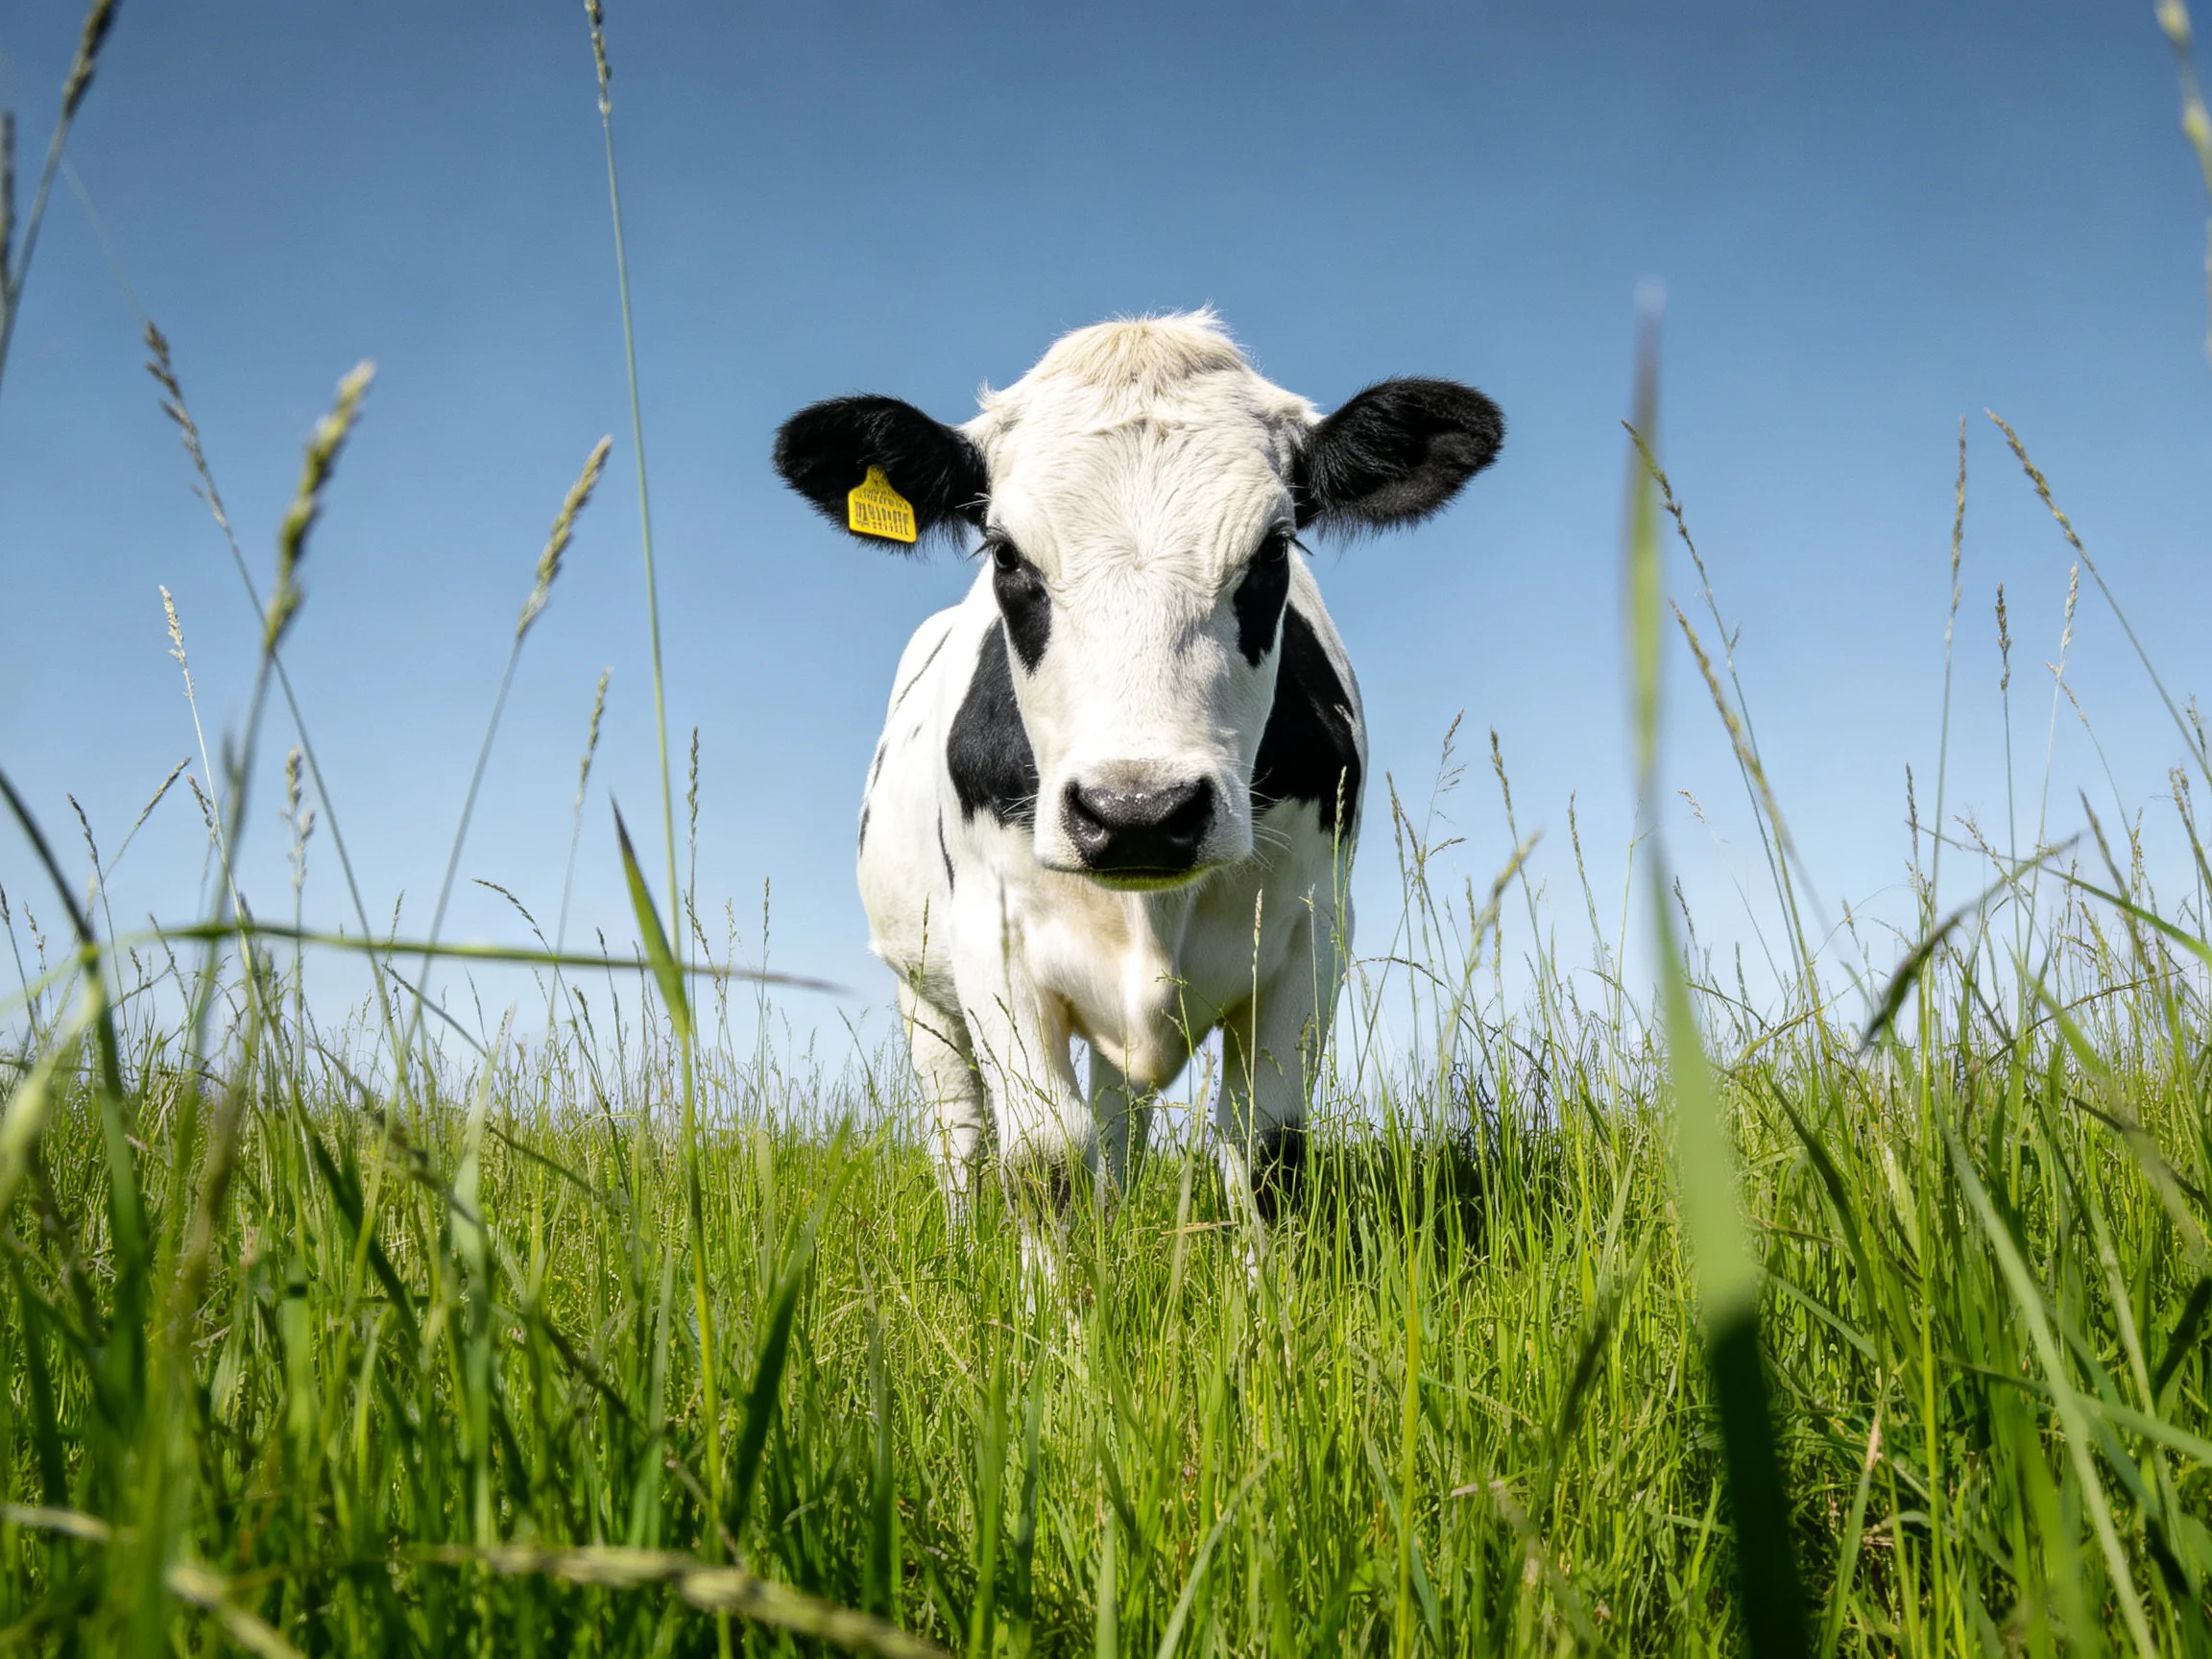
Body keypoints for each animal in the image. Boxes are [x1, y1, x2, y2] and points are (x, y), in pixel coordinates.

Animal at [773, 313, 1502, 1245]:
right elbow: (1042, 1158)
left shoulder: (1313, 936)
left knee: (1120, 1125)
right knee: (959, 1139)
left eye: (1274, 548)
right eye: (1005, 554)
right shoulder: (990, 942)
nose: (1138, 814)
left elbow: (1265, 1154)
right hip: (920, 988)